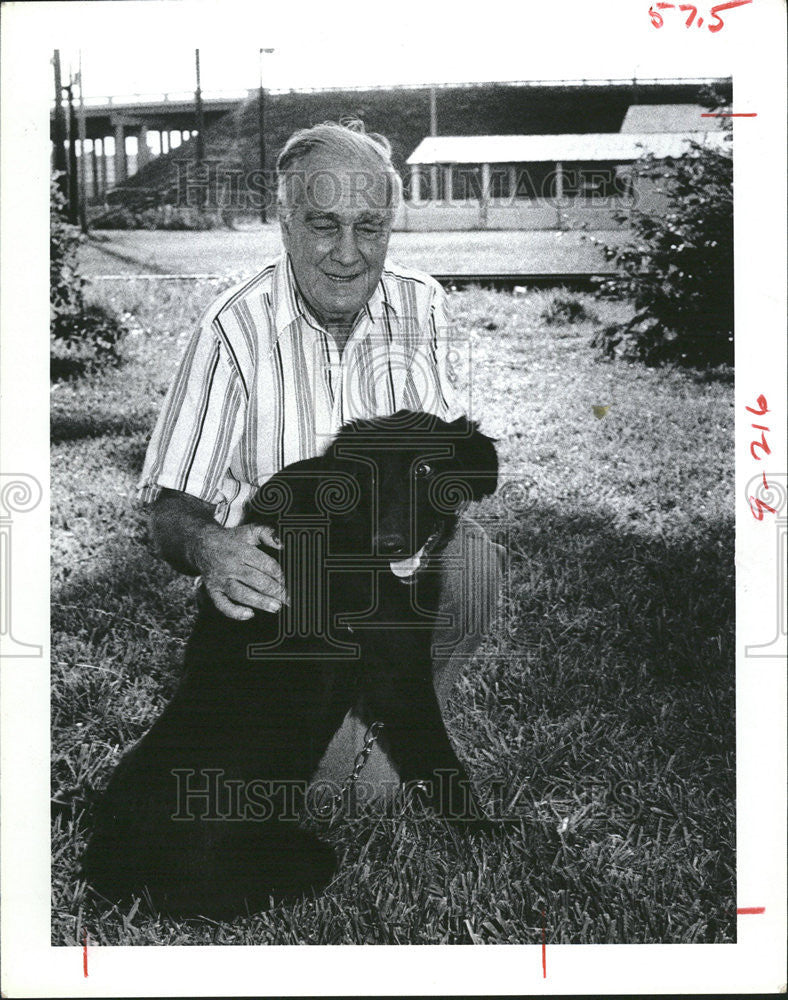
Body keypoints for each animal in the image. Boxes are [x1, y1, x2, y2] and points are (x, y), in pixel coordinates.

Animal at [84, 406, 498, 916]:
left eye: (425, 469)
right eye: (367, 474)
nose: (390, 545)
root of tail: (106, 870)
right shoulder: (399, 676)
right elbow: (442, 762)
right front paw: (490, 834)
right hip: (300, 860)